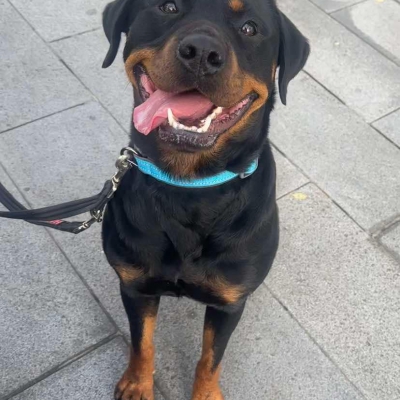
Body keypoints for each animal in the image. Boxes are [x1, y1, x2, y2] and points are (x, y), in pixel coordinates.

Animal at [100, 1, 310, 398]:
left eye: (249, 28)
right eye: (168, 7)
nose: (201, 53)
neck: (189, 186)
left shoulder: (228, 303)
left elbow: (210, 358)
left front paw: (205, 392)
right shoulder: (135, 285)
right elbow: (142, 343)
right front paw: (138, 383)